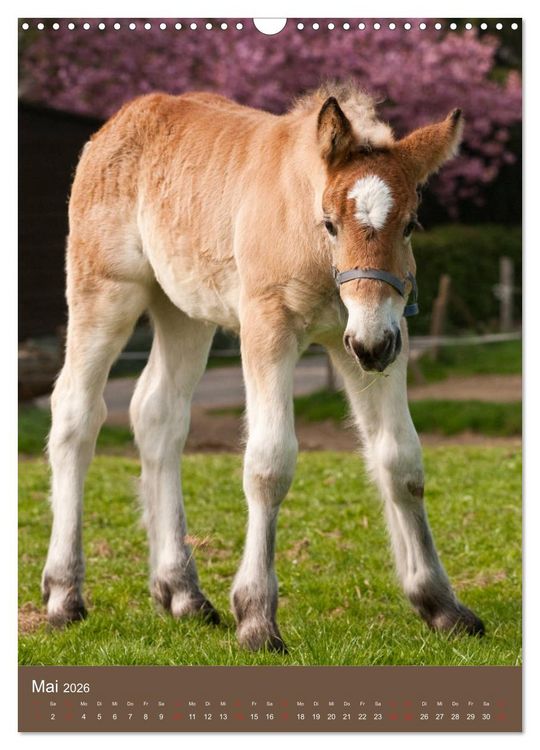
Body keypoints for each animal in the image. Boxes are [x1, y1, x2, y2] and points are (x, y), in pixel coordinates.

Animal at [42, 83, 484, 651]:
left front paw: (441, 605)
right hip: (105, 289)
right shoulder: (267, 327)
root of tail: (122, 119)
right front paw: (256, 618)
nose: (370, 347)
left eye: (411, 225)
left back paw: (182, 593)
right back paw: (64, 596)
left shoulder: (381, 337)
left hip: (184, 311)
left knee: (158, 415)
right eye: (330, 223)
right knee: (76, 412)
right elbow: (269, 462)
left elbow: (402, 460)